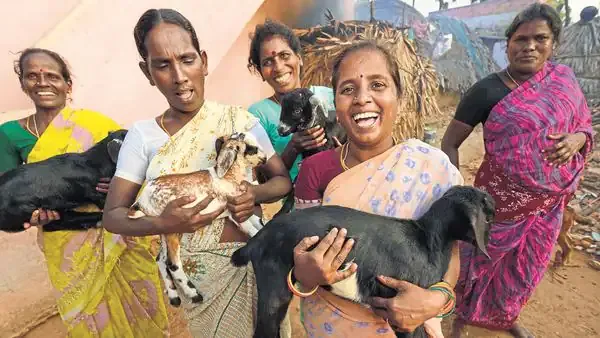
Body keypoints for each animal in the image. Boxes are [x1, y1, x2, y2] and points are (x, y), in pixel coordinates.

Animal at [127, 132, 266, 306]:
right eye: (252, 148)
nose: (265, 158)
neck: (229, 176)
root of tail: (141, 202)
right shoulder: (235, 211)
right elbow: (253, 230)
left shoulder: (235, 211)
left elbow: (256, 222)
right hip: (173, 227)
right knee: (172, 264)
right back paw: (193, 294)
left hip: (163, 231)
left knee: (161, 259)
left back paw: (174, 296)